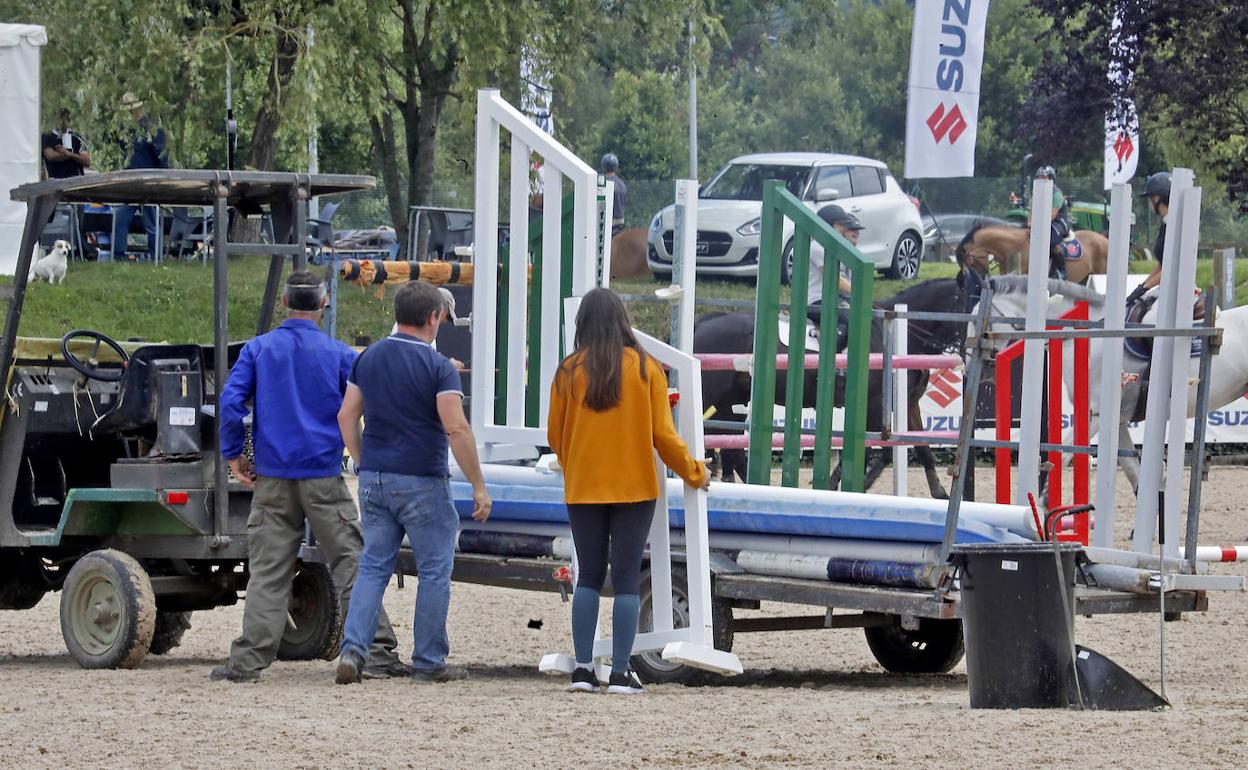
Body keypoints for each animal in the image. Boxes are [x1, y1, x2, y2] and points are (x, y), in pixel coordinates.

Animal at [688, 275, 968, 499]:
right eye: (969, 307)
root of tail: (703, 323)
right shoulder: (874, 405)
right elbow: (878, 452)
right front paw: (844, 485)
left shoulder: (909, 405)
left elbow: (922, 448)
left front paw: (940, 493)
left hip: (729, 401)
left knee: (732, 449)